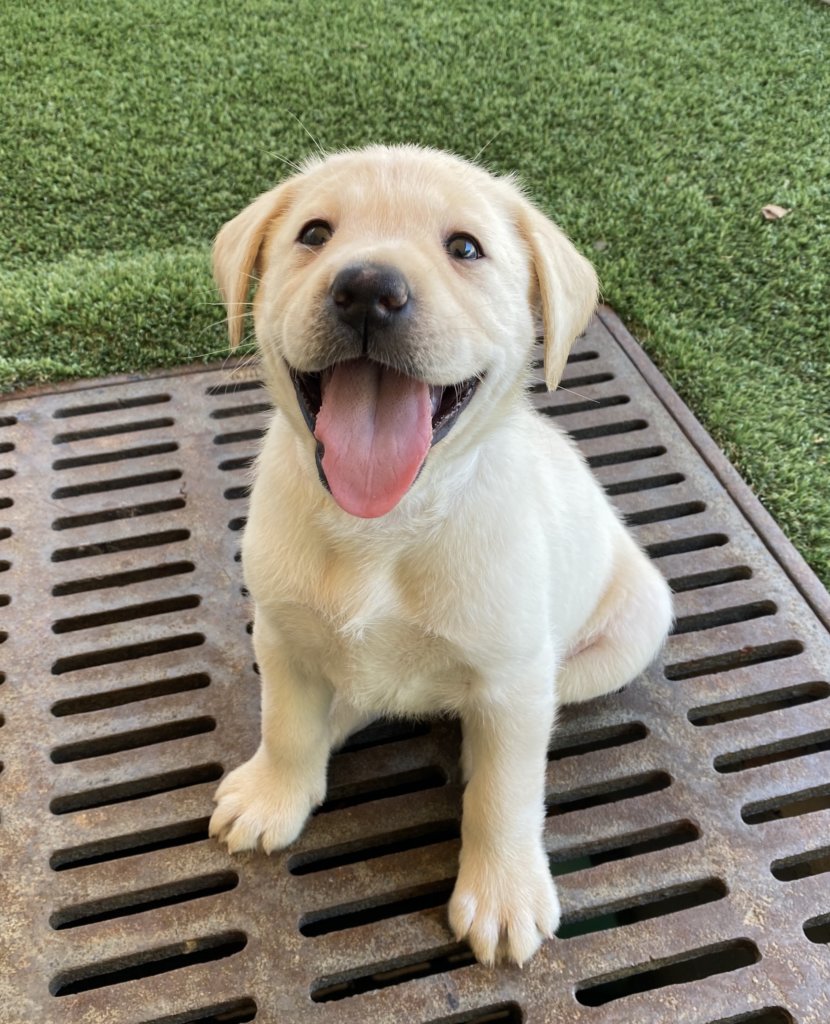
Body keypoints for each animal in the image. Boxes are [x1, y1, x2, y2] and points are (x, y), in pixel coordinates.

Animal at [209, 146, 675, 966]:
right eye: (314, 233)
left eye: (465, 248)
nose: (368, 288)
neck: (385, 525)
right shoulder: (281, 632)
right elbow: (287, 724)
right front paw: (275, 792)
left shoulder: (515, 680)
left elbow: (504, 794)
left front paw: (503, 891)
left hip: (624, 632)